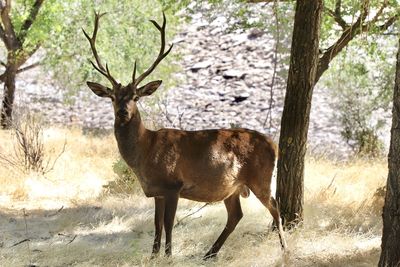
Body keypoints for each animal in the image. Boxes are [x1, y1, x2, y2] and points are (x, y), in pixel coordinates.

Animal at [83, 11, 286, 260]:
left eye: (136, 97)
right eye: (112, 97)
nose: (123, 111)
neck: (145, 152)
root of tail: (274, 144)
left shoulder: (173, 185)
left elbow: (169, 224)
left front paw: (169, 256)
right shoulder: (157, 192)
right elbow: (157, 225)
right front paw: (153, 256)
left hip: (261, 178)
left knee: (275, 208)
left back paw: (284, 248)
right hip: (232, 187)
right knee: (236, 215)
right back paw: (209, 253)